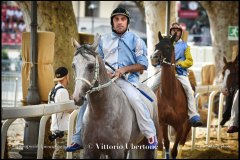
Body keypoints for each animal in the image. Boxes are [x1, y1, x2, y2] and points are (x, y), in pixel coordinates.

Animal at [152, 31, 191, 159]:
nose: (153, 58)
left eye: (168, 47)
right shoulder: (162, 122)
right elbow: (163, 145)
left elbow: (174, 150)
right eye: (156, 46)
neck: (170, 95)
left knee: (182, 142)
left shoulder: (180, 125)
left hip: (187, 124)